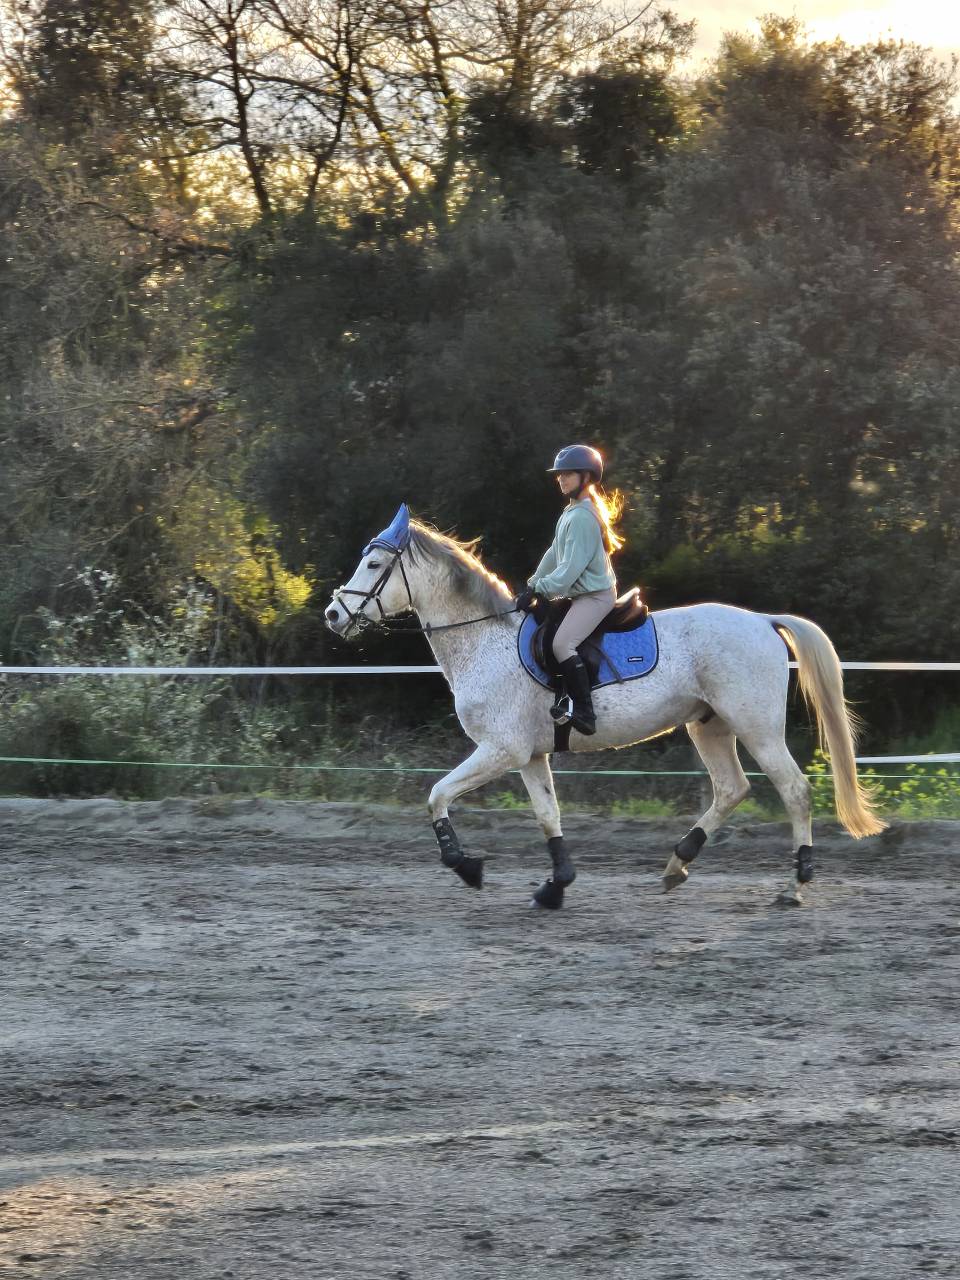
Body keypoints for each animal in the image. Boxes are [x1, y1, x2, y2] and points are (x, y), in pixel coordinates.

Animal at [324, 504, 886, 908]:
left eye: (374, 564)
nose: (333, 614)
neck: (484, 641)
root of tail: (763, 621)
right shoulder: (530, 755)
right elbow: (547, 814)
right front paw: (556, 885)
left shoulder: (500, 750)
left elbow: (436, 795)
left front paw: (468, 867)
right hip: (710, 726)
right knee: (732, 789)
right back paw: (677, 865)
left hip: (756, 727)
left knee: (793, 791)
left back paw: (795, 885)